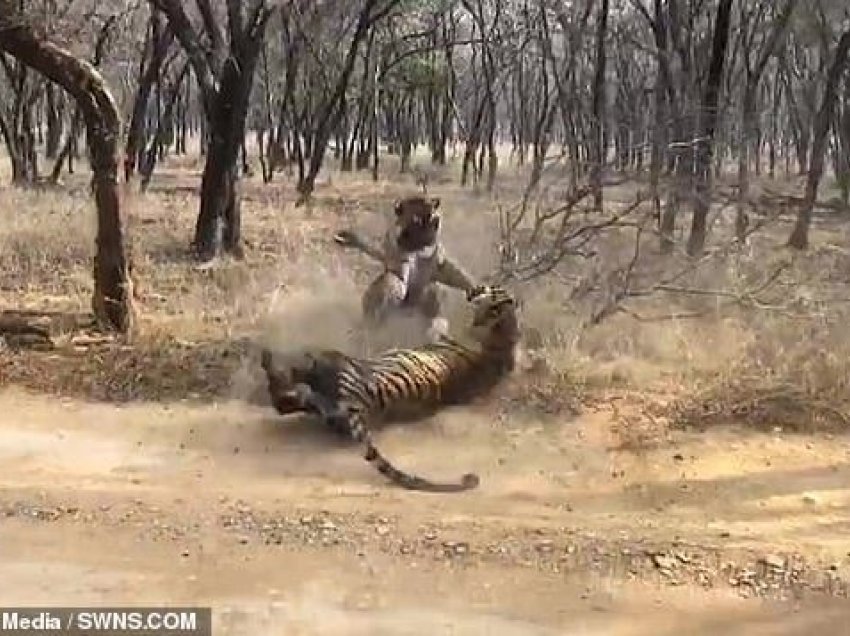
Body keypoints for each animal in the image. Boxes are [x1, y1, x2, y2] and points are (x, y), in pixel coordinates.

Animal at [258, 286, 520, 494]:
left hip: (328, 363)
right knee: (286, 402)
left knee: (292, 379)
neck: (501, 334)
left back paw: (269, 358)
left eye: (491, 289)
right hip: (322, 404)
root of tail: (358, 405)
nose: (475, 288)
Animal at [332, 194, 476, 342]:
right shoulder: (398, 259)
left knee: (434, 296)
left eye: (433, 215)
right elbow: (395, 274)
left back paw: (435, 332)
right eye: (417, 219)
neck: (418, 245)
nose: (434, 215)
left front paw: (475, 288)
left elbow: (454, 272)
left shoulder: (439, 261)